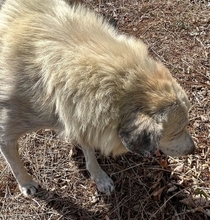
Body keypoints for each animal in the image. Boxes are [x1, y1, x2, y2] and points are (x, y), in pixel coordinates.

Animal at [0, 0, 195, 196]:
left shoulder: (80, 116)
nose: (194, 150)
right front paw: (26, 183)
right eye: (177, 131)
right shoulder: (6, 135)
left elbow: (89, 150)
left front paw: (99, 178)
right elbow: (15, 164)